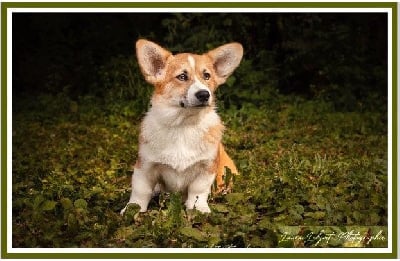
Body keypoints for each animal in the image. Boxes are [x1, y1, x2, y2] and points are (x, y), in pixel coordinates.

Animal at [120, 39, 242, 213]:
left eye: (207, 76)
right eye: (182, 76)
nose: (204, 94)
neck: (183, 124)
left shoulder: (206, 168)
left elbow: (198, 190)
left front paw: (198, 208)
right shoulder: (145, 167)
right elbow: (140, 191)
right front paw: (133, 209)